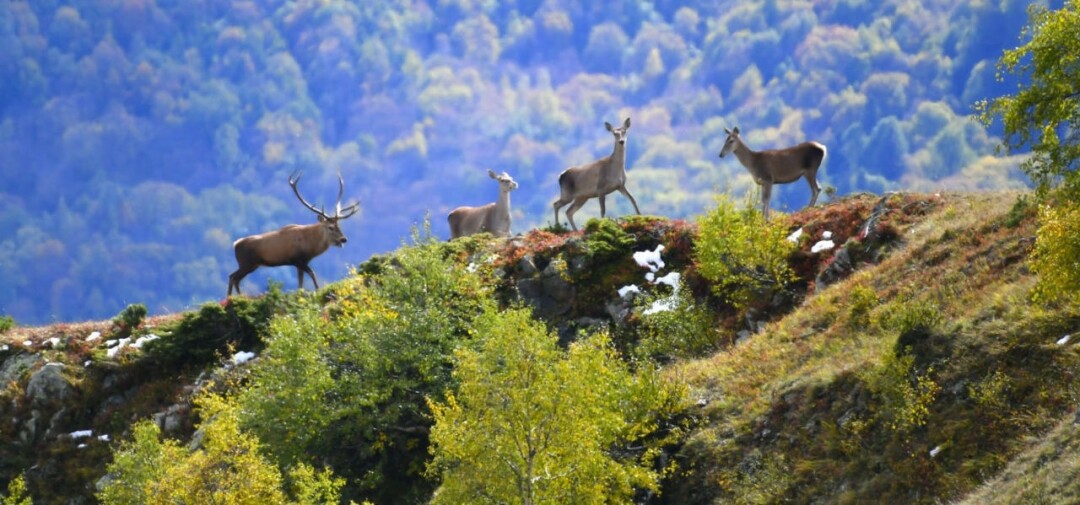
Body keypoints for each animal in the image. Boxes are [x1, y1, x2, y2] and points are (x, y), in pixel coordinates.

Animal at [225, 170, 360, 295]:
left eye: (339, 225)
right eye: (330, 227)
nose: (343, 239)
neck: (311, 247)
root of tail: (235, 244)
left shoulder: (301, 262)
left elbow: (300, 283)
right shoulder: (298, 259)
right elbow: (312, 273)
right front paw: (318, 290)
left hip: (252, 265)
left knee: (234, 277)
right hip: (246, 263)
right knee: (233, 277)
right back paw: (232, 298)